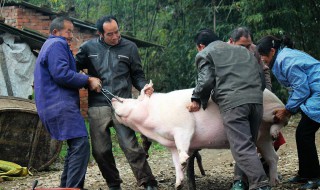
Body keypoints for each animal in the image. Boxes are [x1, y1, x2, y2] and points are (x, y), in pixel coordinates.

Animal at [111, 85, 288, 189]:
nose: (112, 98)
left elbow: (184, 144)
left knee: (284, 116)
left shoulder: (183, 126)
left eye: (131, 99)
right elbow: (175, 161)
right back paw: (274, 182)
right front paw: (178, 184)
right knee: (273, 156)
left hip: (270, 110)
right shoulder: (171, 144)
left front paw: (184, 160)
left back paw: (276, 129)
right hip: (261, 137)